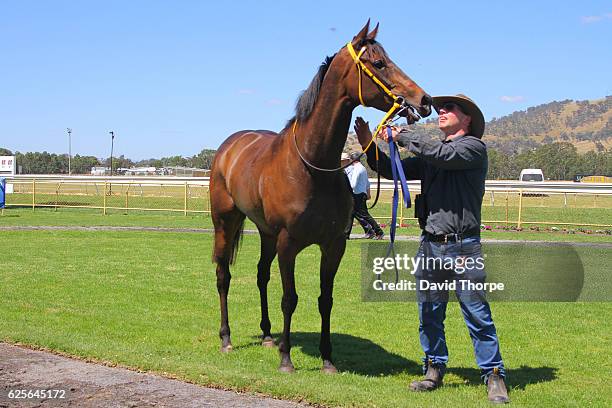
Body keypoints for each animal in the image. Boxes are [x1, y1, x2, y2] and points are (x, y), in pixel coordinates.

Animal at [210, 21, 430, 372]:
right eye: (379, 63)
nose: (423, 99)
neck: (313, 166)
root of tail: (228, 148)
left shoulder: (333, 245)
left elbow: (325, 300)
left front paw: (327, 358)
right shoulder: (288, 245)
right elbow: (290, 299)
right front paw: (286, 358)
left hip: (265, 232)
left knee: (261, 275)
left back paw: (268, 334)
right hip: (225, 222)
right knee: (223, 275)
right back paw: (227, 338)